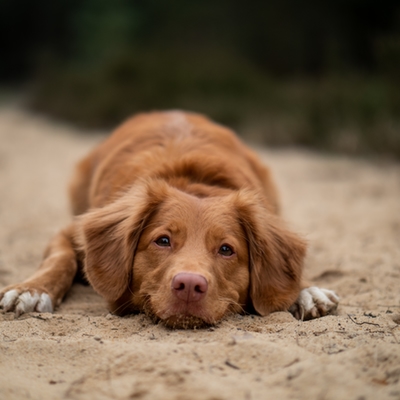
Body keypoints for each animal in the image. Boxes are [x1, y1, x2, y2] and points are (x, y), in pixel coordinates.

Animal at [0, 111, 338, 326]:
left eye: (226, 250)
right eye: (162, 241)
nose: (189, 285)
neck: (192, 181)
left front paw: (305, 290)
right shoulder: (71, 231)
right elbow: (60, 259)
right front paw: (32, 290)